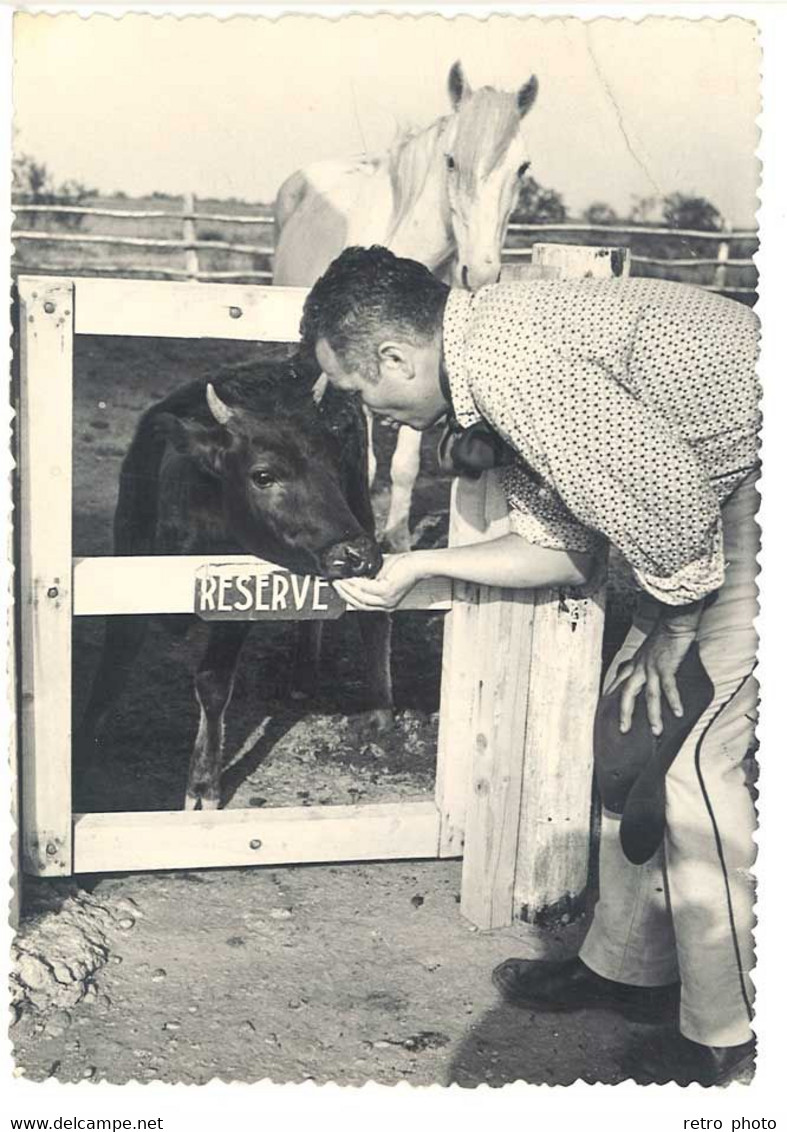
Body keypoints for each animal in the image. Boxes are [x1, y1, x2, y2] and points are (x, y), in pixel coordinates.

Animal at [274, 64, 539, 550]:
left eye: (522, 168)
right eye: (450, 160)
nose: (481, 273)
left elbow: (405, 466)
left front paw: (397, 539)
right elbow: (368, 464)